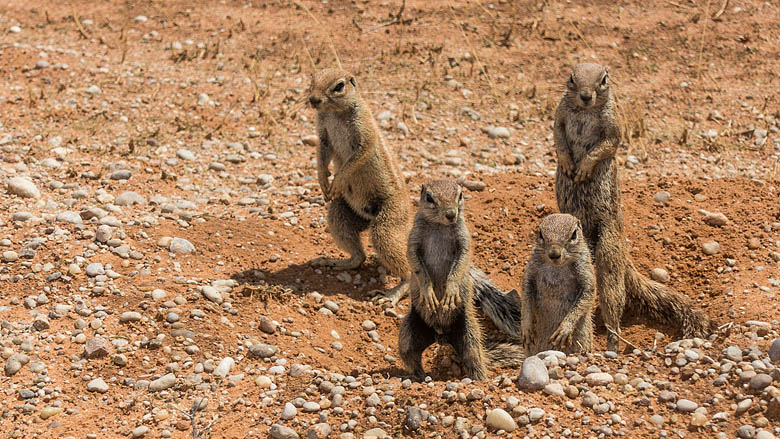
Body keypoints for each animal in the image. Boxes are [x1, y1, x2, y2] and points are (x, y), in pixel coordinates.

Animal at [308, 69, 412, 304]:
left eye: (339, 86)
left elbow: (358, 156)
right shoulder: (323, 132)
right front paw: (323, 181)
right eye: (311, 80)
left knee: (409, 273)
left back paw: (392, 294)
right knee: (359, 257)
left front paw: (337, 181)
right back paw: (334, 261)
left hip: (387, 226)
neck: (335, 113)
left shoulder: (364, 128)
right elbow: (321, 154)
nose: (313, 100)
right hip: (341, 213)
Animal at [400, 180, 520, 382]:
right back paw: (419, 377)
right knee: (410, 354)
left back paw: (480, 380)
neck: (439, 225)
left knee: (474, 359)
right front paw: (428, 291)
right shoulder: (413, 239)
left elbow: (460, 264)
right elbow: (416, 263)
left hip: (468, 334)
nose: (451, 214)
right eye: (429, 198)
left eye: (461, 195)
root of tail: (441, 336)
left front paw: (450, 291)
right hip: (409, 331)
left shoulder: (464, 240)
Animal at [520, 214, 596, 358]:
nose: (554, 254)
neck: (556, 267)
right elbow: (526, 295)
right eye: (540, 234)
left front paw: (564, 330)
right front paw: (526, 328)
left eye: (574, 234)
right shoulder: (530, 271)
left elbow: (587, 296)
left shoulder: (585, 271)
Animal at [552, 62, 708, 352]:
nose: (586, 96)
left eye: (604, 79)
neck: (586, 110)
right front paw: (567, 162)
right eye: (571, 78)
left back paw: (613, 342)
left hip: (609, 249)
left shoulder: (614, 123)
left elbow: (607, 144)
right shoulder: (560, 114)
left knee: (612, 293)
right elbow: (558, 137)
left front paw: (584, 167)